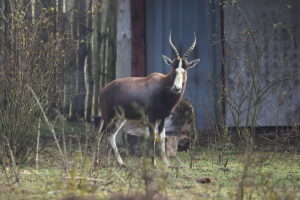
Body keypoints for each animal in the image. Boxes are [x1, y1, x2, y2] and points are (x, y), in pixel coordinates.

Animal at [98, 32, 200, 166]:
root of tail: (103, 89)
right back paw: (95, 163)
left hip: (120, 118)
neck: (162, 86)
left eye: (185, 68)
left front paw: (166, 164)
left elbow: (161, 139)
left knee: (111, 135)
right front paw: (154, 164)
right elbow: (153, 138)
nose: (176, 88)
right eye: (173, 67)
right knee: (99, 134)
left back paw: (121, 163)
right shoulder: (151, 117)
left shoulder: (162, 118)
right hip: (107, 116)